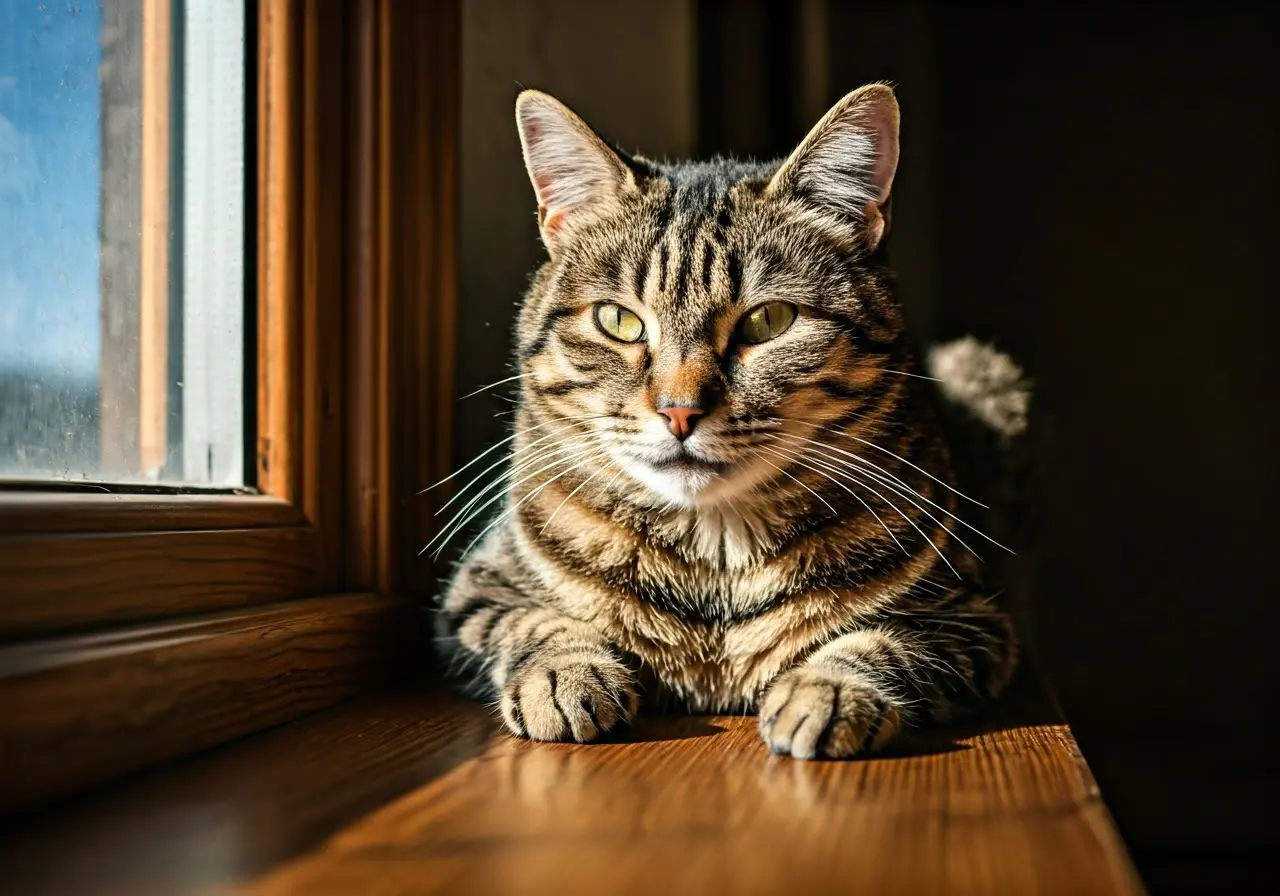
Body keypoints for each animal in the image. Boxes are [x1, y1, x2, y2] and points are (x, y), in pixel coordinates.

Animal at [440, 82, 1029, 757]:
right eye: (619, 321)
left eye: (769, 321)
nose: (679, 410)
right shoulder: (475, 593)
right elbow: (534, 622)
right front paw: (565, 676)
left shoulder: (975, 617)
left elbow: (885, 643)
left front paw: (826, 691)